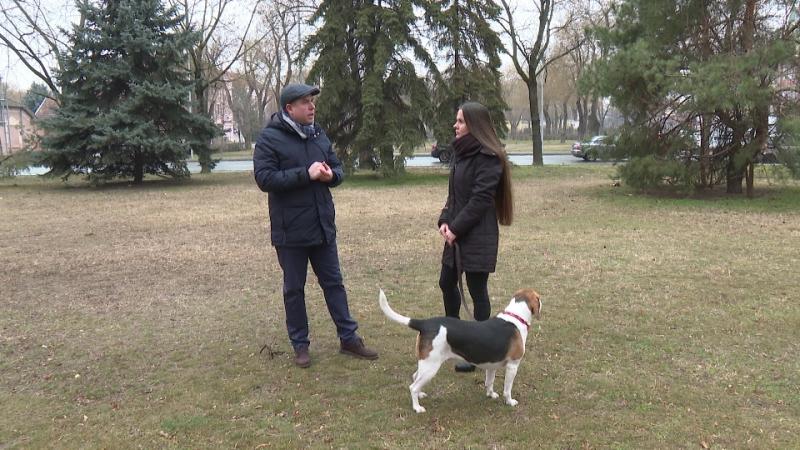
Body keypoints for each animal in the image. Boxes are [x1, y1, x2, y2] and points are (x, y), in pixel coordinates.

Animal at [378, 290, 540, 414]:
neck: (515, 317)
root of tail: (425, 323)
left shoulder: (491, 365)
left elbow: (489, 382)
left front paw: (491, 394)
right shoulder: (513, 365)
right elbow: (507, 389)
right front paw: (510, 402)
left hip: (426, 363)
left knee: (414, 377)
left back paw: (421, 394)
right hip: (431, 367)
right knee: (413, 387)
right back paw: (417, 408)